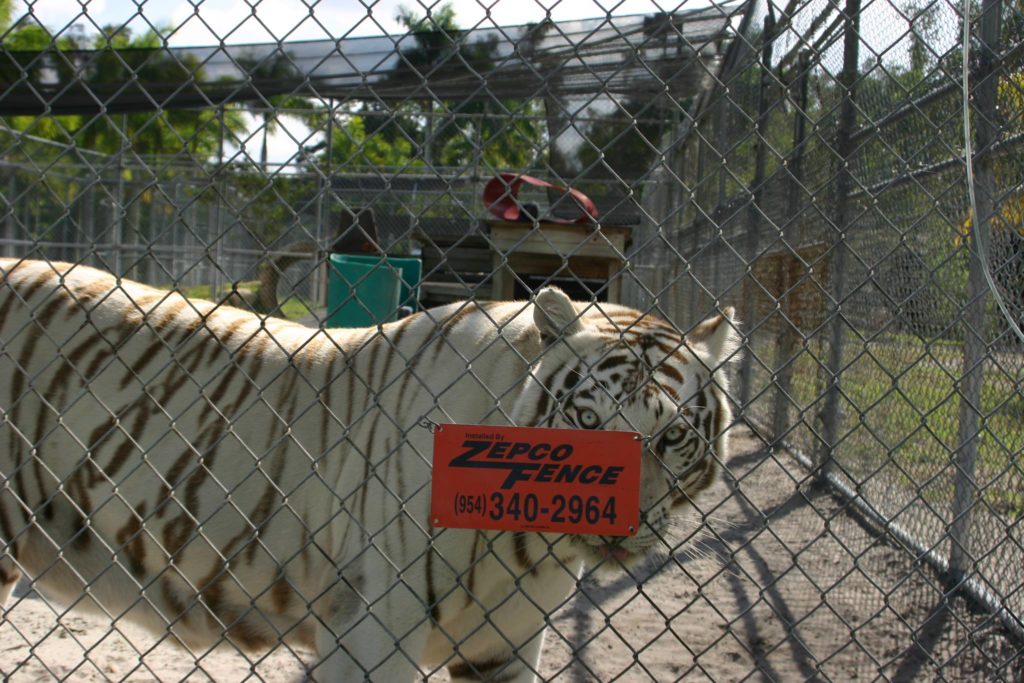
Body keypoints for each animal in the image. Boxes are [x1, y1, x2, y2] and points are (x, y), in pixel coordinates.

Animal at [0, 259, 737, 679]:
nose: (619, 527)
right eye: (586, 424)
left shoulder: (506, 645)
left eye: (671, 436)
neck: (532, 544)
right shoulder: (375, 627)